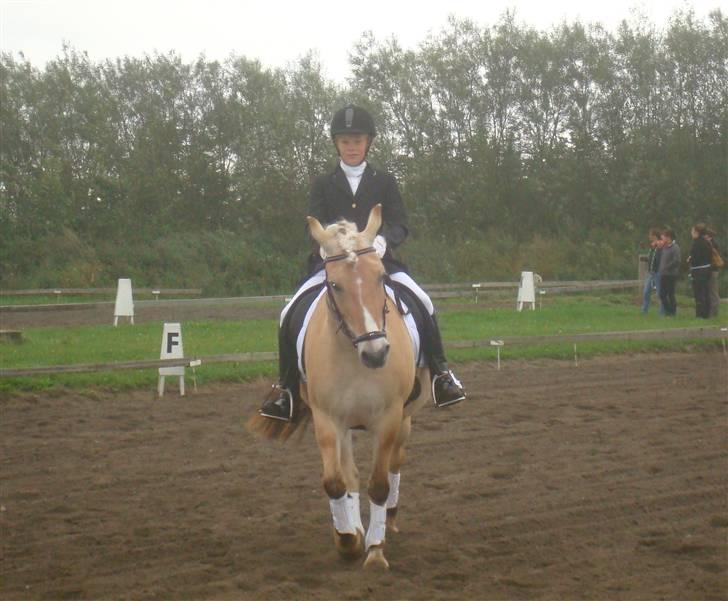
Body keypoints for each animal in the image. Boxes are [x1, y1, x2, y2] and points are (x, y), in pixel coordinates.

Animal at [247, 205, 430, 568]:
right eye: (335, 284)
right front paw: (348, 540)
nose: (376, 353)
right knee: (351, 474)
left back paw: (389, 519)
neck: (354, 354)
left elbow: (379, 483)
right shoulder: (328, 418)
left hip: (405, 418)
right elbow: (336, 481)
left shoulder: (389, 417)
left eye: (381, 278)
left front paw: (375, 551)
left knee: (395, 463)